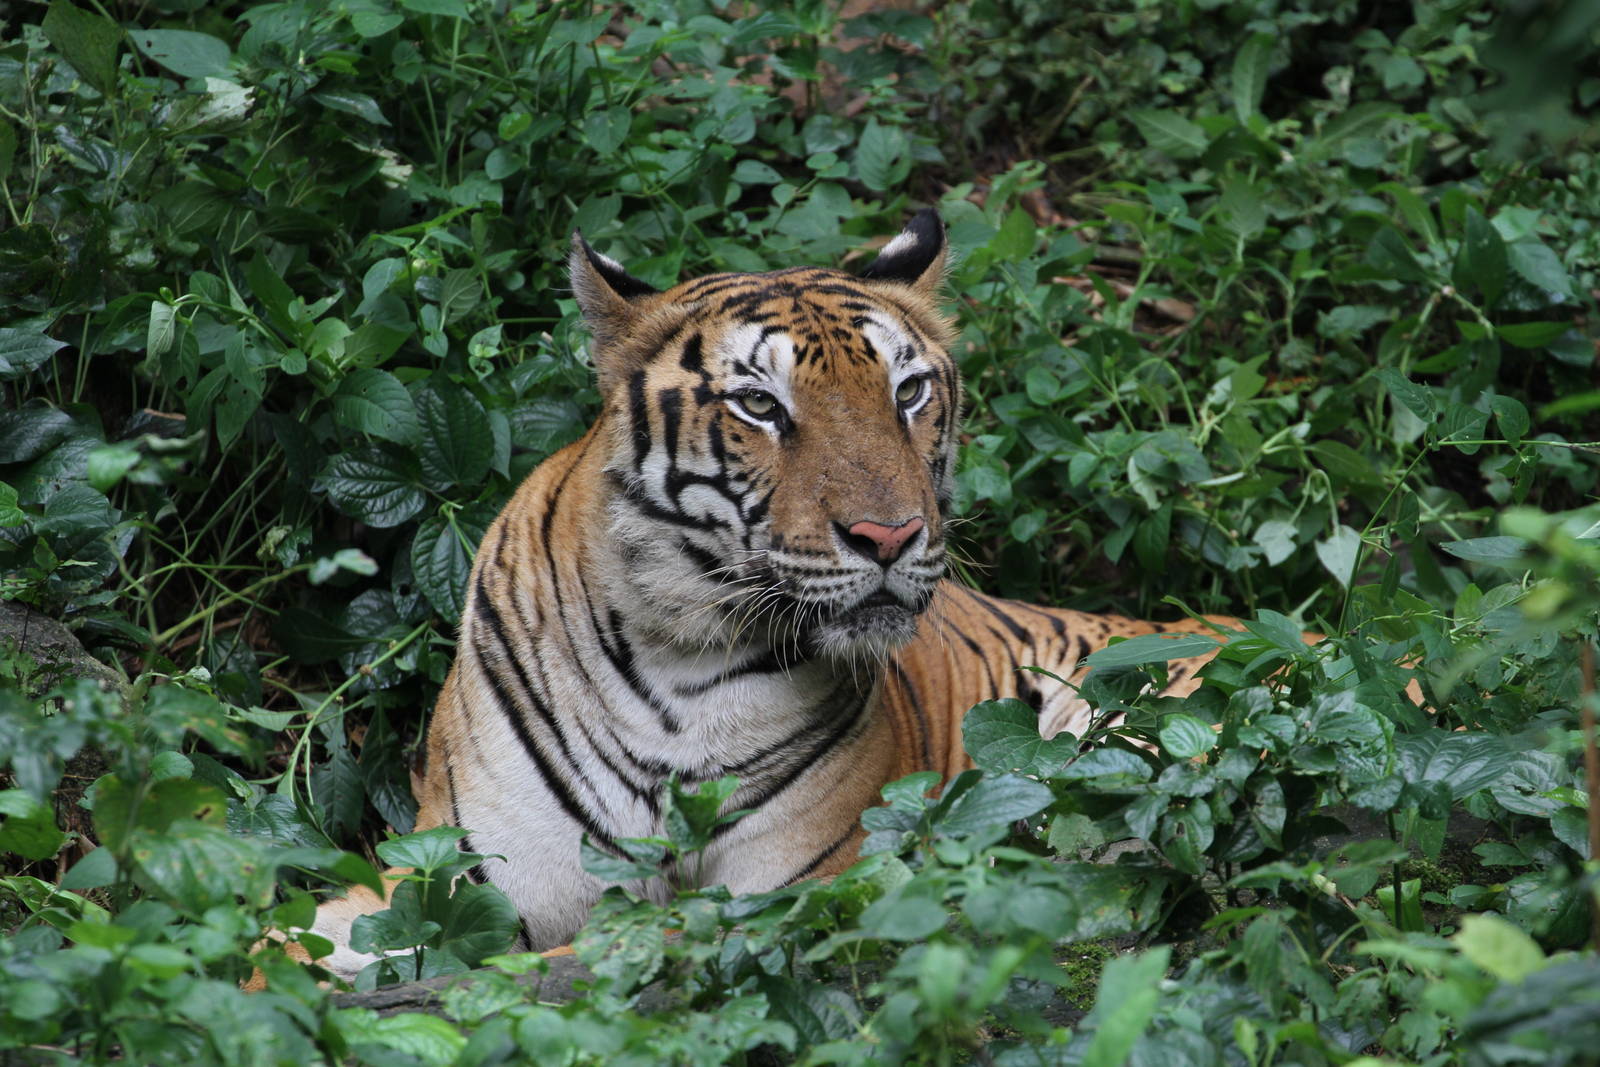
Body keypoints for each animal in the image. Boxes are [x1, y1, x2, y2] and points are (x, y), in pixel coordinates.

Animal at [304, 210, 1239, 980]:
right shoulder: (456, 875)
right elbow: (320, 936)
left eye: (908, 392)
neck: (671, 654)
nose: (891, 536)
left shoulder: (786, 891)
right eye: (759, 404)